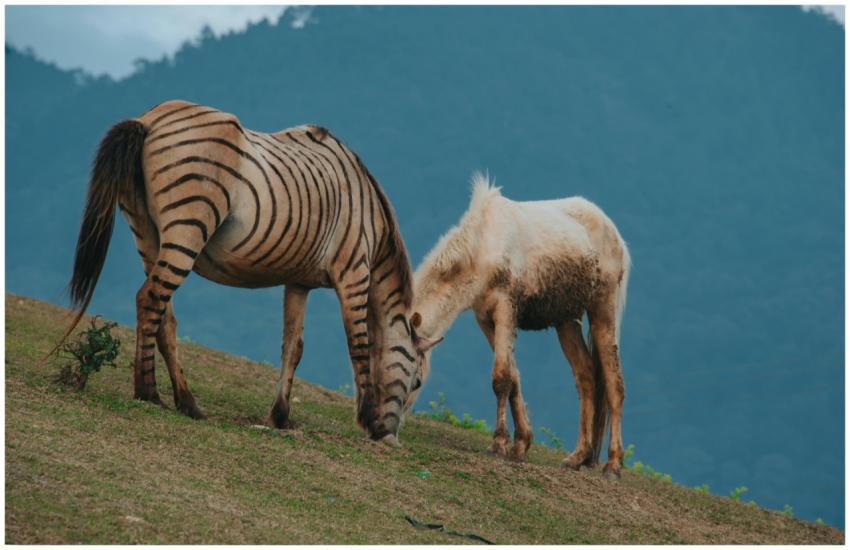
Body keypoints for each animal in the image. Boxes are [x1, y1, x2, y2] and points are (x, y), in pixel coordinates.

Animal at [61, 100, 439, 444]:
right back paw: (148, 392)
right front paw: (367, 420)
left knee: (163, 316)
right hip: (188, 227)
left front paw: (280, 416)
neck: (369, 218)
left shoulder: (298, 282)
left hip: (147, 233)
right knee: (150, 299)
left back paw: (187, 402)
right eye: (417, 381)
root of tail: (150, 119)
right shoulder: (353, 272)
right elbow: (360, 346)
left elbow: (293, 347)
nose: (391, 438)